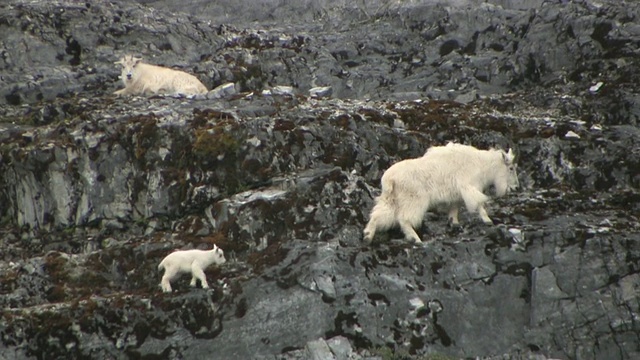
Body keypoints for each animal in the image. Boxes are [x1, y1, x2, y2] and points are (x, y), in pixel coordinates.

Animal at [362, 143, 516, 245]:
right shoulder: (468, 187)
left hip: (392, 199)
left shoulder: (456, 194)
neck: (483, 165)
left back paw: (368, 236)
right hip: (414, 199)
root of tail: (389, 179)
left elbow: (454, 208)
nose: (515, 187)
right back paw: (415, 239)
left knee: (378, 215)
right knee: (404, 219)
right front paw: (488, 220)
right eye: (511, 168)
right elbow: (479, 204)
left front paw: (454, 223)